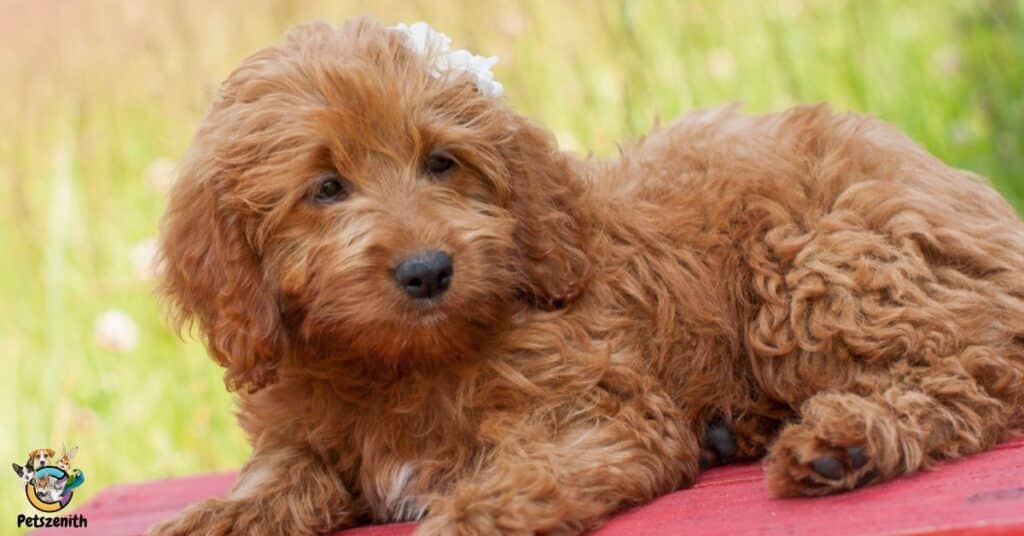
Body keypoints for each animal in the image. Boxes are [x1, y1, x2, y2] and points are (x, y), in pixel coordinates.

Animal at [149, 17, 1024, 536]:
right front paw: (222, 514)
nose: (428, 270)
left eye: (442, 163)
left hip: (820, 264)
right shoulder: (302, 421)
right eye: (326, 188)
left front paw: (468, 516)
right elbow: (282, 467)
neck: (401, 362)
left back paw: (843, 441)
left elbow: (529, 469)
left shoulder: (598, 406)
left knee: (978, 372)